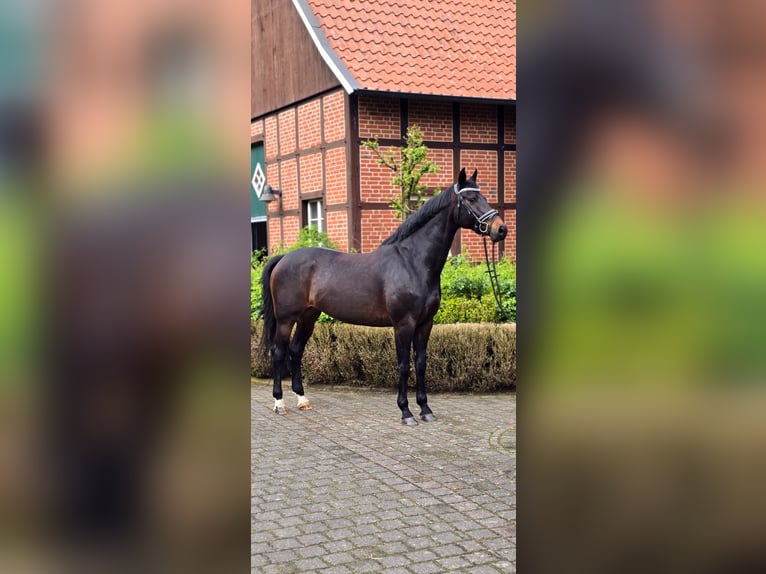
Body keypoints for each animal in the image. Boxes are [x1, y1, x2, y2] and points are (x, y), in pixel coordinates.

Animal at [260, 168, 507, 425]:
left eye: (484, 196)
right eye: (471, 199)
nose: (501, 229)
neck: (413, 262)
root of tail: (284, 257)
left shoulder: (425, 324)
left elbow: (421, 363)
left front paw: (425, 409)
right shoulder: (403, 324)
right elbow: (403, 365)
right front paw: (406, 412)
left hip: (308, 316)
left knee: (296, 350)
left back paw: (302, 399)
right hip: (286, 319)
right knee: (278, 352)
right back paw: (279, 403)